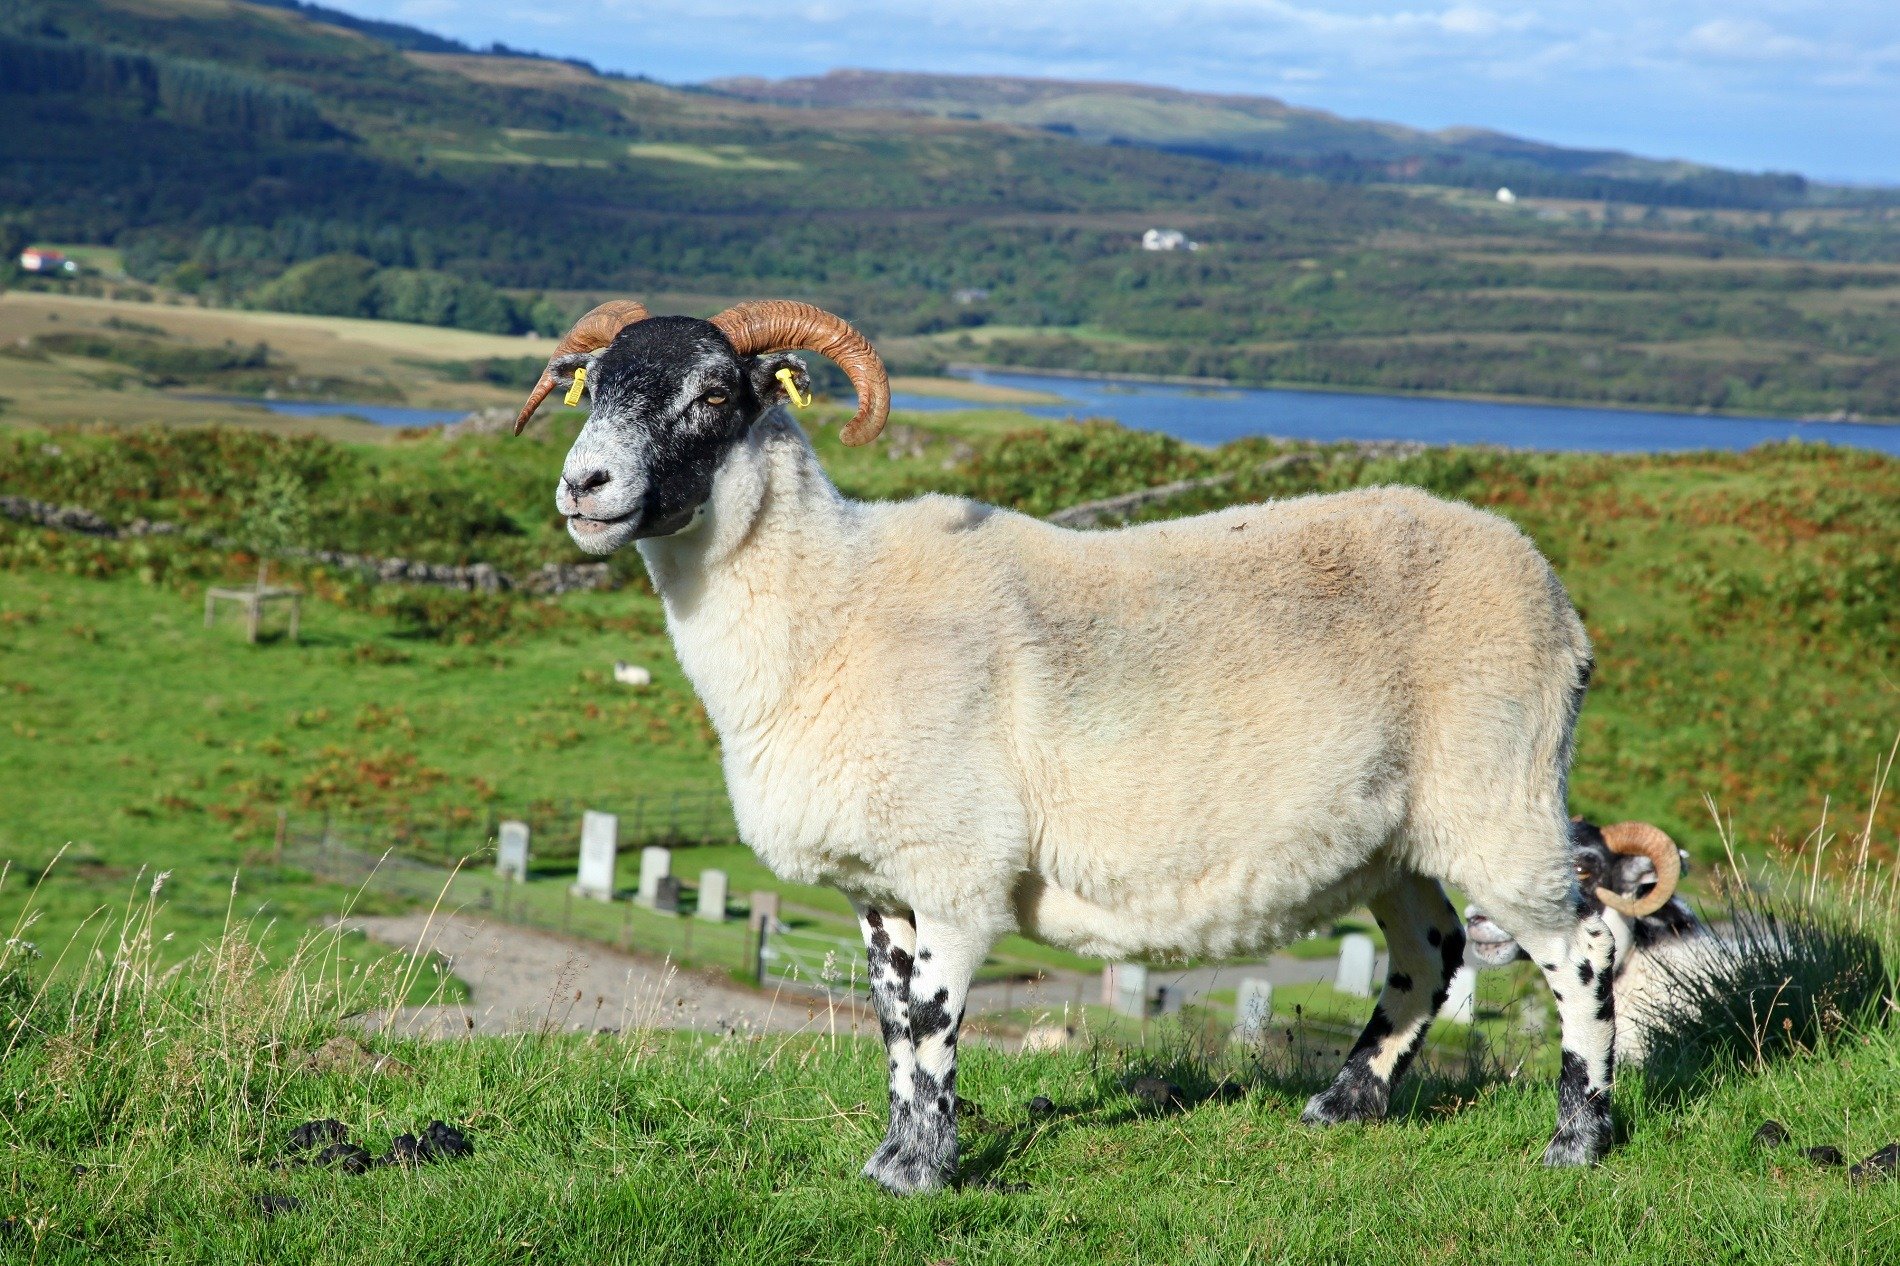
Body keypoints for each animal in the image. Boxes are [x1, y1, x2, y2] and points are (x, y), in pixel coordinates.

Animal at [516, 292, 1618, 1186]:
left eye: (712, 394)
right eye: (590, 388)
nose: (584, 487)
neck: (833, 604)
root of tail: (1556, 600)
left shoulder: (955, 866)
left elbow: (931, 1022)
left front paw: (924, 1174)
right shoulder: (877, 886)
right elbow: (891, 1027)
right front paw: (892, 1158)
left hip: (1502, 792)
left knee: (1587, 948)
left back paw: (1578, 1140)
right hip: (1398, 835)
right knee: (1430, 951)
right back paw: (1343, 1106)